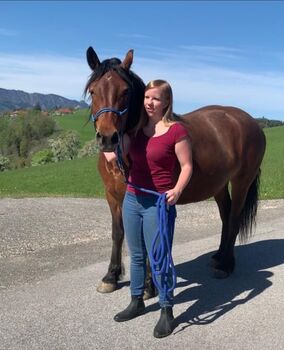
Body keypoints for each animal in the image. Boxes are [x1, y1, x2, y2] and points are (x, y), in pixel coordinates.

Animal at [84, 46, 266, 296]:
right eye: (93, 91)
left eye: (125, 91)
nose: (108, 137)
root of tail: (251, 122)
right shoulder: (112, 196)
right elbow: (118, 233)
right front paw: (111, 276)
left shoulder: (148, 197)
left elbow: (148, 236)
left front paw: (149, 285)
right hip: (219, 185)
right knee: (226, 216)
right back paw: (218, 257)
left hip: (241, 182)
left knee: (234, 219)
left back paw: (226, 265)